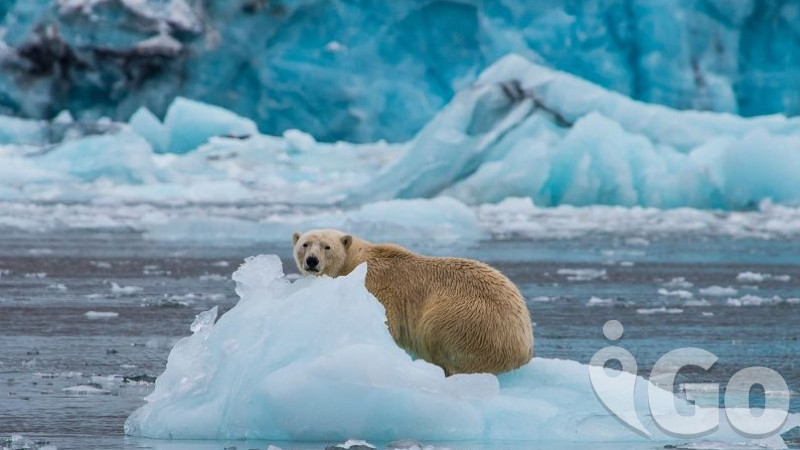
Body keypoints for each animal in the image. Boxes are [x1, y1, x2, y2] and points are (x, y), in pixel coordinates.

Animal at [290, 229, 536, 376]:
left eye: (327, 246)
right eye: (305, 244)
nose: (312, 261)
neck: (357, 261)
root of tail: (525, 345)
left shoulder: (378, 286)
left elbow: (387, 321)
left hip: (467, 319)